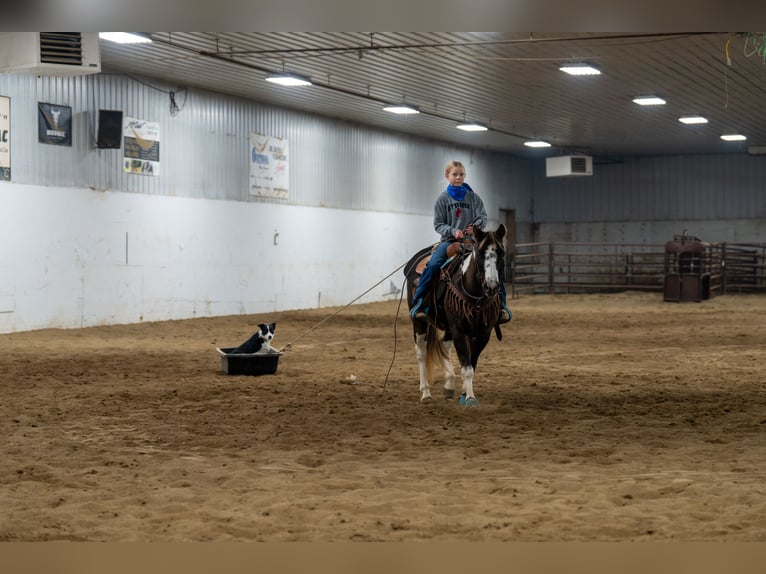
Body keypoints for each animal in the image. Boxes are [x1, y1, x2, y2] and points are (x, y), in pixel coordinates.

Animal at [404, 223, 508, 408]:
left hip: (447, 326)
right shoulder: (459, 331)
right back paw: (425, 392)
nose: (491, 287)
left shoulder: (483, 333)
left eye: (501, 254)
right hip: (419, 321)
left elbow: (471, 364)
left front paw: (464, 393)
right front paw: (470, 398)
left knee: (444, 346)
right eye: (480, 255)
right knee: (421, 352)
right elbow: (467, 368)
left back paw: (449, 386)